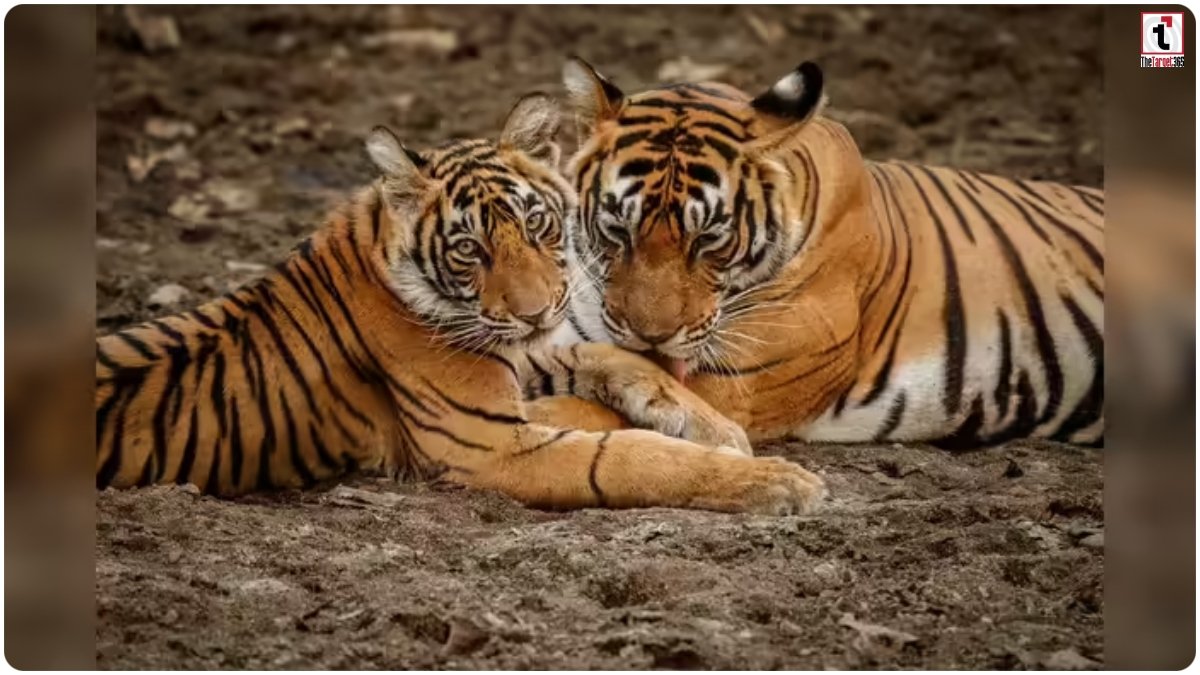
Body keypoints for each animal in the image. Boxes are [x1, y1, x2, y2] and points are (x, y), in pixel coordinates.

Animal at [95, 92, 828, 515]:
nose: (537, 310)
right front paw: (780, 482)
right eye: (470, 249)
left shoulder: (523, 356)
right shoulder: (489, 443)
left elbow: (610, 357)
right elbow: (627, 457)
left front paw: (713, 426)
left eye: (536, 224)